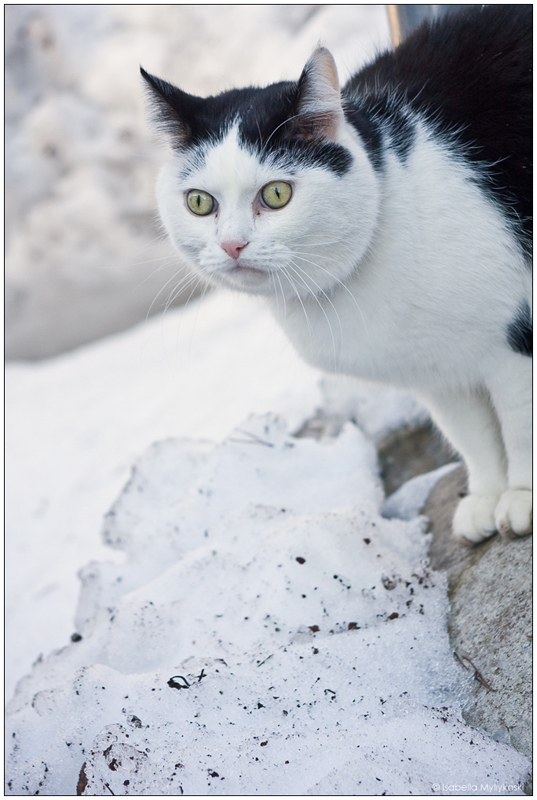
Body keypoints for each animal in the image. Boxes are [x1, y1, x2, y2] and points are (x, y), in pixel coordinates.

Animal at [140, 4, 528, 544]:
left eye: (276, 194)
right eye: (199, 203)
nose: (232, 244)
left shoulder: (513, 340)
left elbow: (519, 424)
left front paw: (522, 496)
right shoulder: (439, 375)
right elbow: (475, 436)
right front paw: (487, 497)